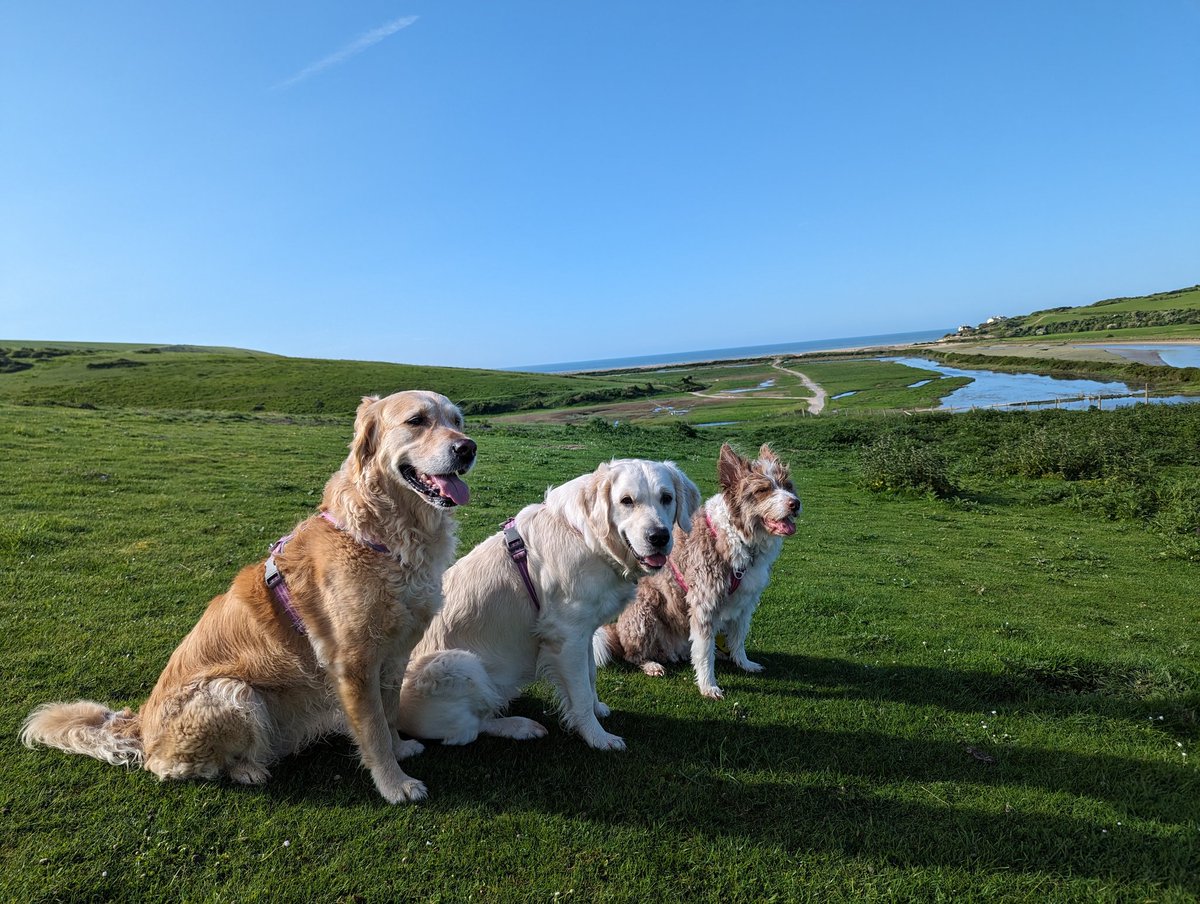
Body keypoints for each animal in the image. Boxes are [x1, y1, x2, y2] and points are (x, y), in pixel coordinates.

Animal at [22, 391, 472, 801]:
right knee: (170, 767)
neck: (384, 538)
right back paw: (248, 769)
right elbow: (374, 729)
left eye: (457, 420)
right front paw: (394, 784)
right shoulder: (354, 662)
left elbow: (390, 713)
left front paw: (401, 748)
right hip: (233, 691)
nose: (468, 448)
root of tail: (143, 725)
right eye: (416, 421)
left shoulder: (395, 654)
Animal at [595, 444, 801, 696]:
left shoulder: (746, 602)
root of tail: (617, 632)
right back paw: (652, 664)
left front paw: (743, 662)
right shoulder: (704, 602)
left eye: (787, 485)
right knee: (632, 654)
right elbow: (704, 652)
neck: (740, 538)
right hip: (644, 612)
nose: (795, 503)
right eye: (763, 489)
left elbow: (739, 636)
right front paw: (708, 685)